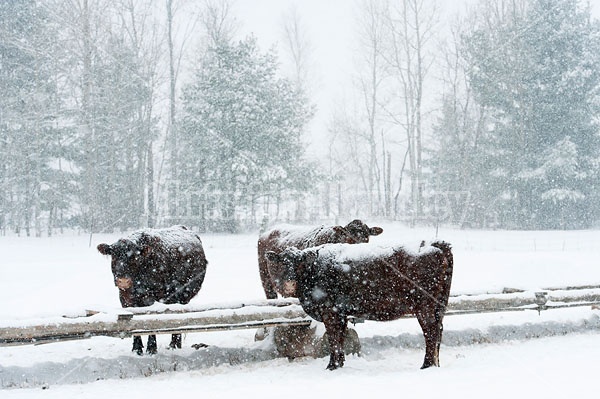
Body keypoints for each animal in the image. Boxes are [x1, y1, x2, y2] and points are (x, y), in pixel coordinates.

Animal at [264, 241, 452, 372]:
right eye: (281, 263)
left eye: (300, 263)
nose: (289, 284)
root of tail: (435, 246)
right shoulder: (340, 313)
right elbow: (339, 338)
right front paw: (339, 364)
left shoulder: (330, 312)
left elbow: (333, 339)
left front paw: (331, 366)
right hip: (437, 307)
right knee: (438, 331)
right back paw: (435, 364)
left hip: (424, 306)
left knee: (431, 332)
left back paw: (426, 365)